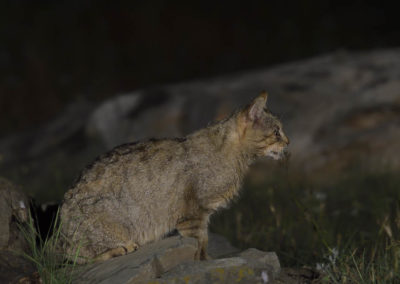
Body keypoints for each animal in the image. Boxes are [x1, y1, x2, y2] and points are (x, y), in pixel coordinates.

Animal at [60, 92, 288, 262]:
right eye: (277, 132)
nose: (288, 142)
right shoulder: (193, 215)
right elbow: (201, 242)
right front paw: (204, 260)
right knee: (79, 257)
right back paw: (120, 248)